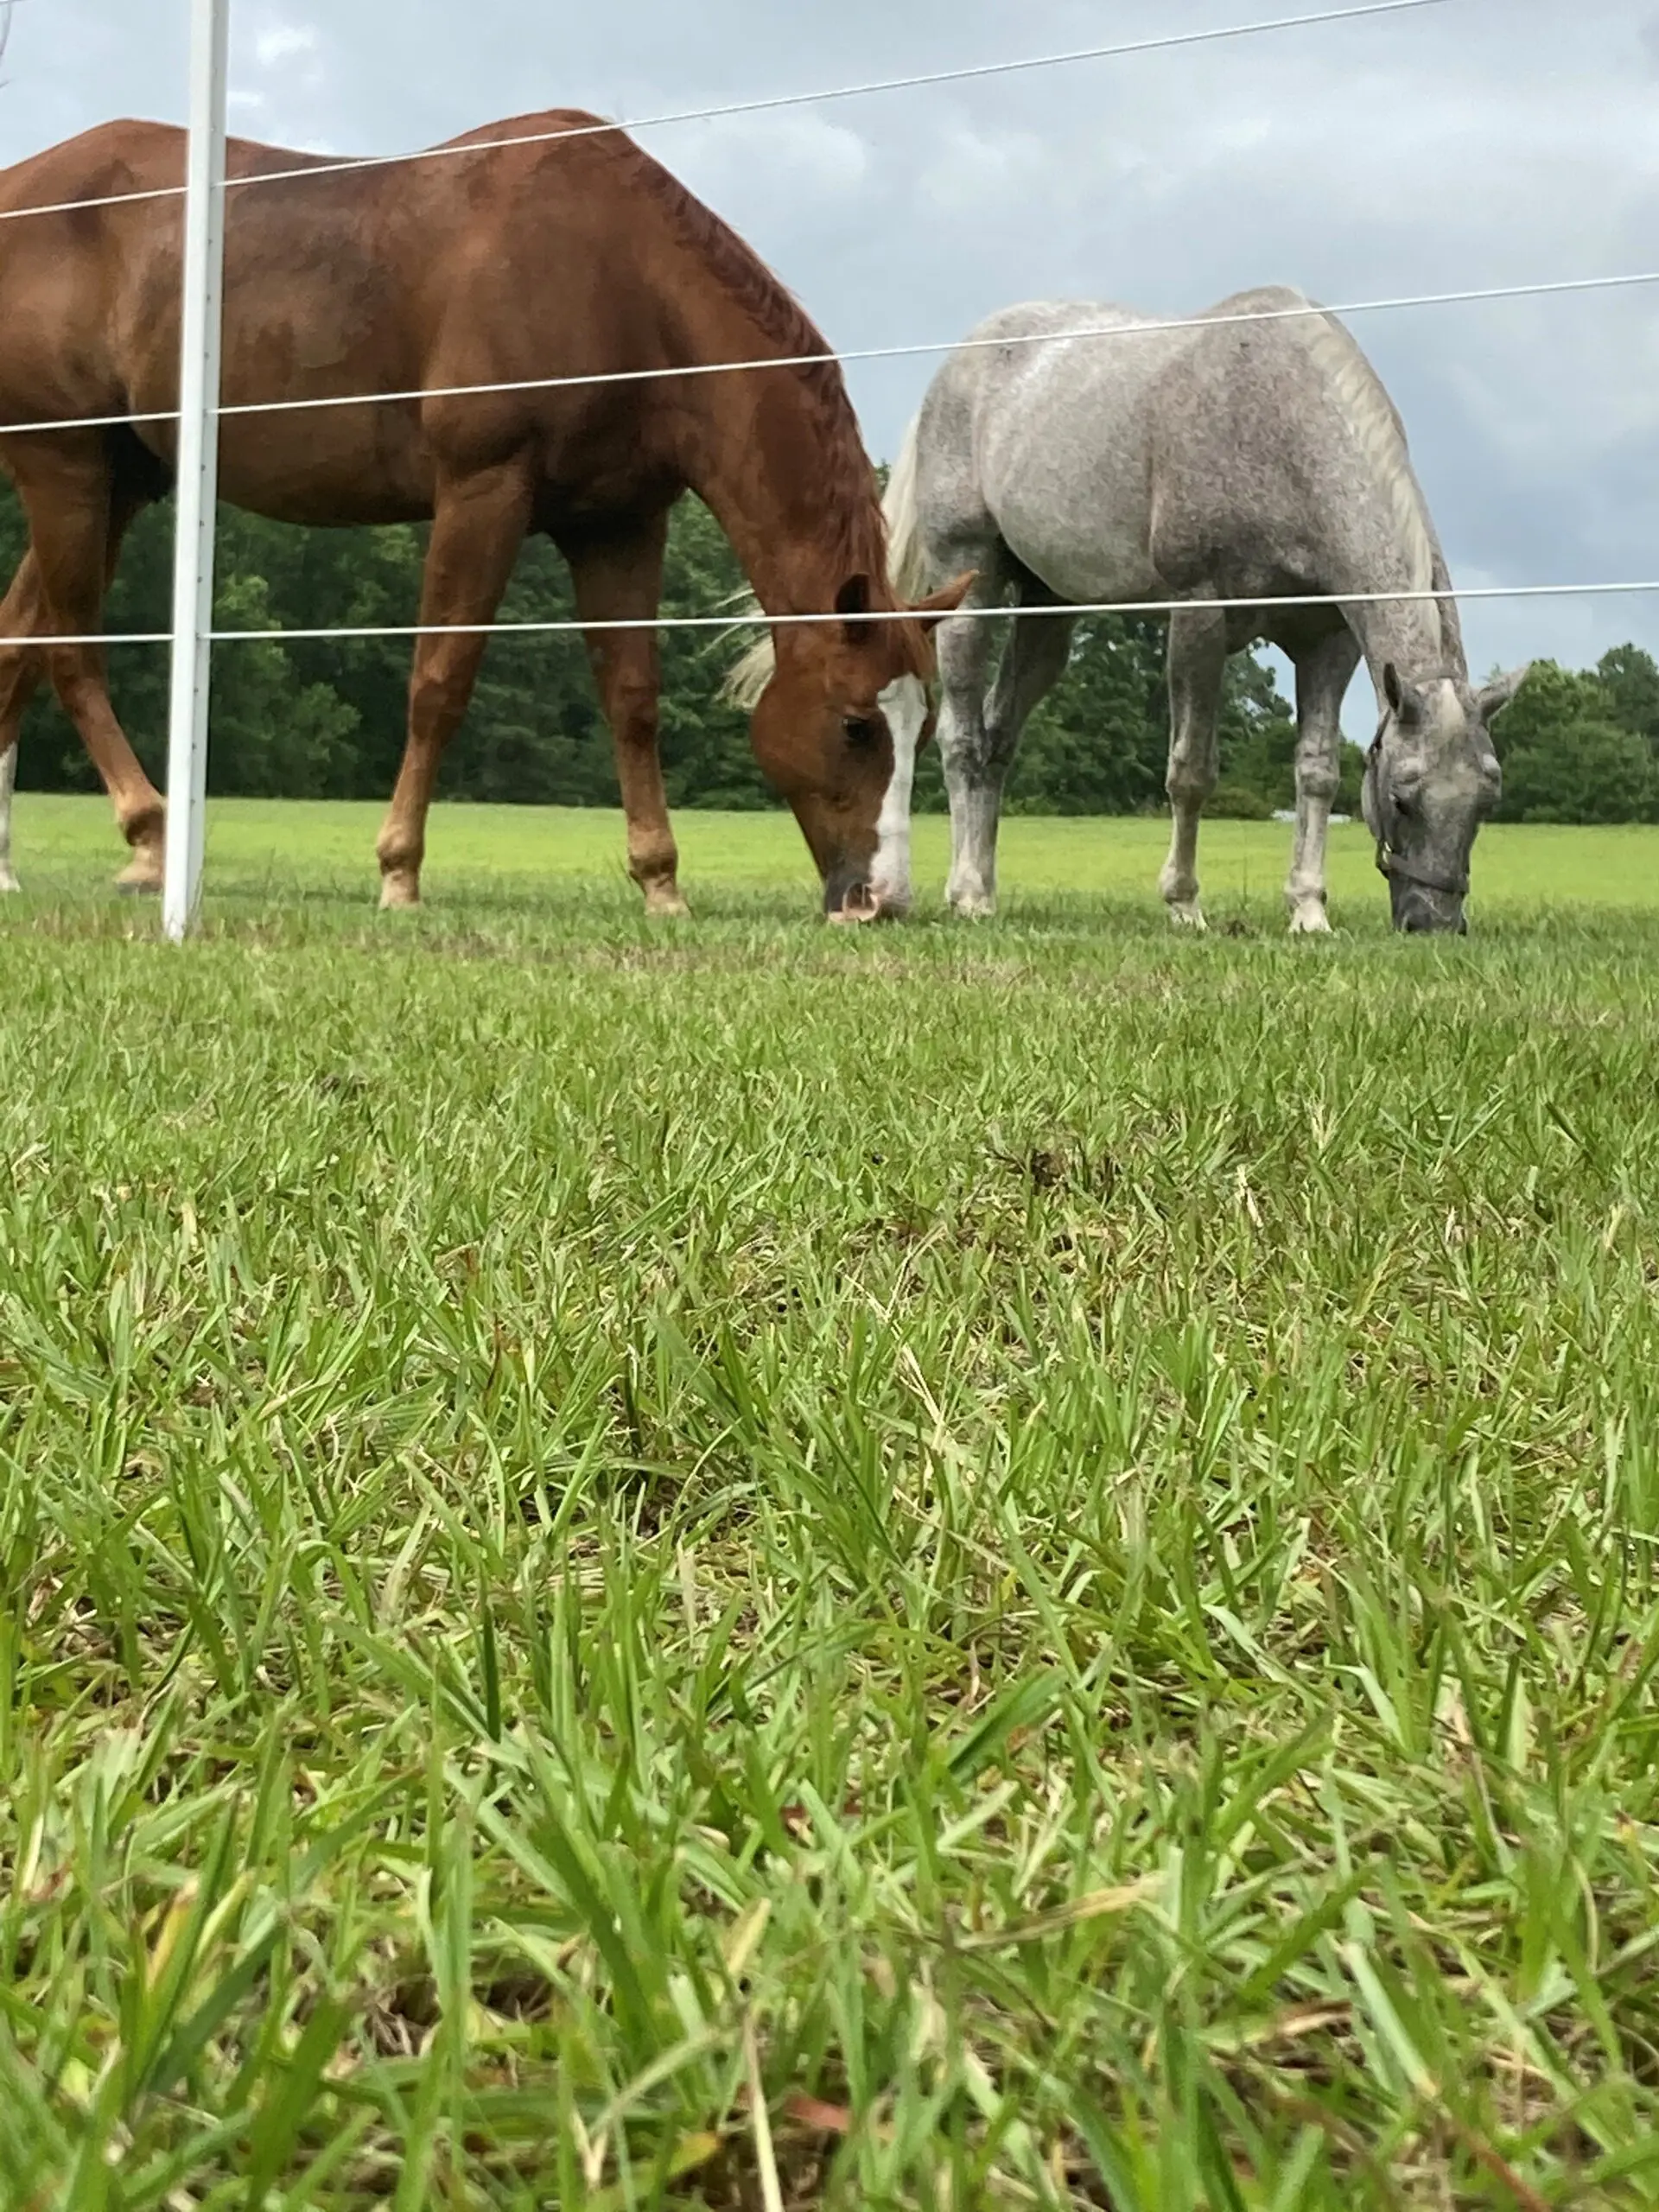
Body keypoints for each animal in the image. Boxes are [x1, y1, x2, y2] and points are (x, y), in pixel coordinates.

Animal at [0, 117, 973, 911]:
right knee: (70, 648)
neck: (622, 283)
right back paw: (150, 836)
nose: (882, 901)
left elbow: (632, 698)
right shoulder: (483, 491)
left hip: (121, 479)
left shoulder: (618, 525)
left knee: (21, 639)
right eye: (855, 725)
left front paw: (659, 881)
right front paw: (399, 871)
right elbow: (441, 679)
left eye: (923, 725)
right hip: (66, 467)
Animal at [729, 287, 1530, 933]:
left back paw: (985, 889)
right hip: (972, 583)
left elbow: (1316, 774)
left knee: (998, 743)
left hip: (1048, 615)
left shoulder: (1325, 642)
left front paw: (1308, 911)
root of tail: (962, 360)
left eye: (1486, 800)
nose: (1433, 923)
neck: (1277, 423)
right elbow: (1191, 770)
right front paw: (1183, 904)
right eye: (1402, 798)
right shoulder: (1199, 616)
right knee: (963, 740)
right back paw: (964, 892)